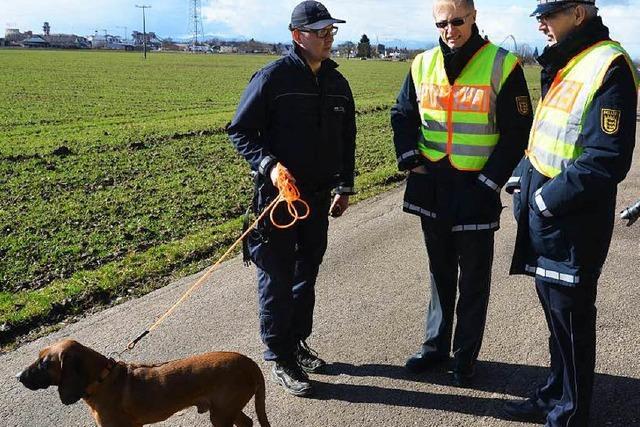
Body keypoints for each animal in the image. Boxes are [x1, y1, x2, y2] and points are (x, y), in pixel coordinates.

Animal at [15, 342, 270, 427]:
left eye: (44, 363)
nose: (18, 376)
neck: (103, 380)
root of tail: (249, 362)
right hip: (224, 410)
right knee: (246, 422)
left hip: (221, 413)